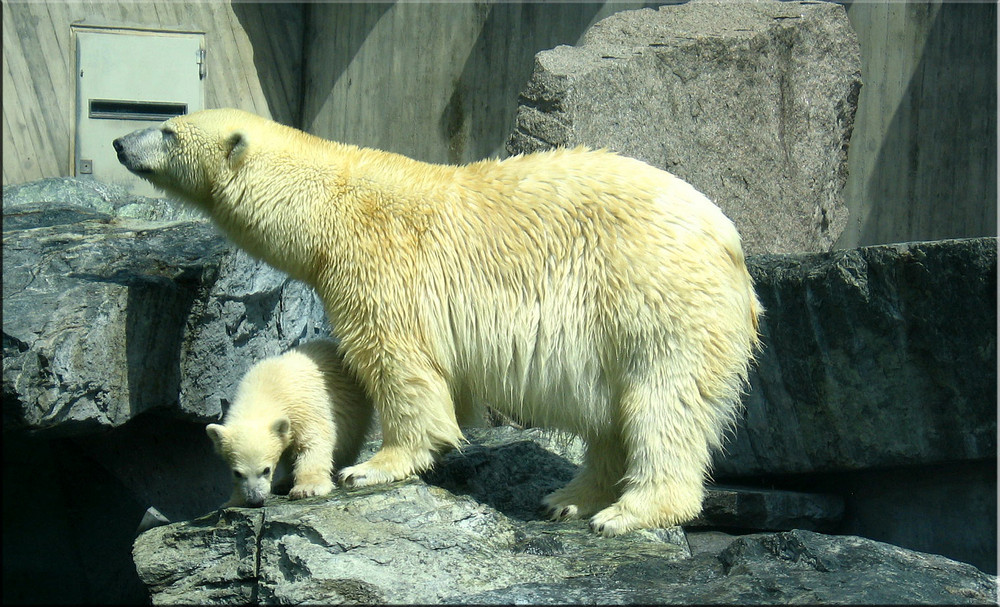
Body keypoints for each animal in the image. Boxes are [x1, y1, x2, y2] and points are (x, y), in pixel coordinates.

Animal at [113, 109, 756, 536]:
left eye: (168, 129)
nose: (119, 141)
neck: (328, 205)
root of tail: (729, 240)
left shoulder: (381, 269)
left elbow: (399, 363)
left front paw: (371, 468)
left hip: (655, 299)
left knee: (663, 402)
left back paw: (626, 512)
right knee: (610, 416)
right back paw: (569, 499)